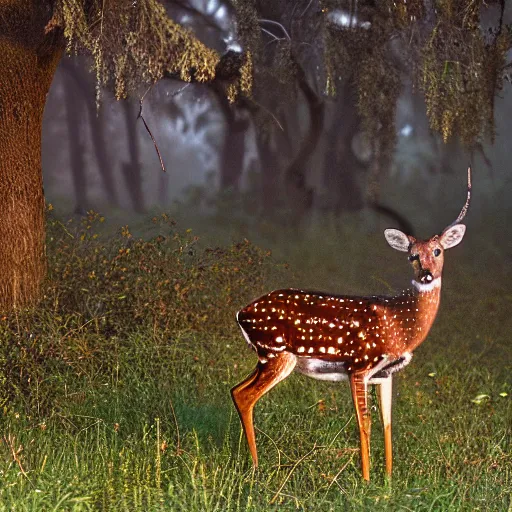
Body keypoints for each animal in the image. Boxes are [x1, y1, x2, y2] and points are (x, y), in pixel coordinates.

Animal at [232, 168, 472, 480]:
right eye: (412, 255)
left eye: (438, 251)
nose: (427, 275)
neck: (400, 324)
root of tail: (241, 313)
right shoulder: (359, 364)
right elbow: (364, 422)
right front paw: (367, 480)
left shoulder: (385, 373)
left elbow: (387, 422)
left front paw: (389, 479)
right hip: (277, 354)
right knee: (245, 396)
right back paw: (257, 467)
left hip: (266, 357)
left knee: (235, 390)